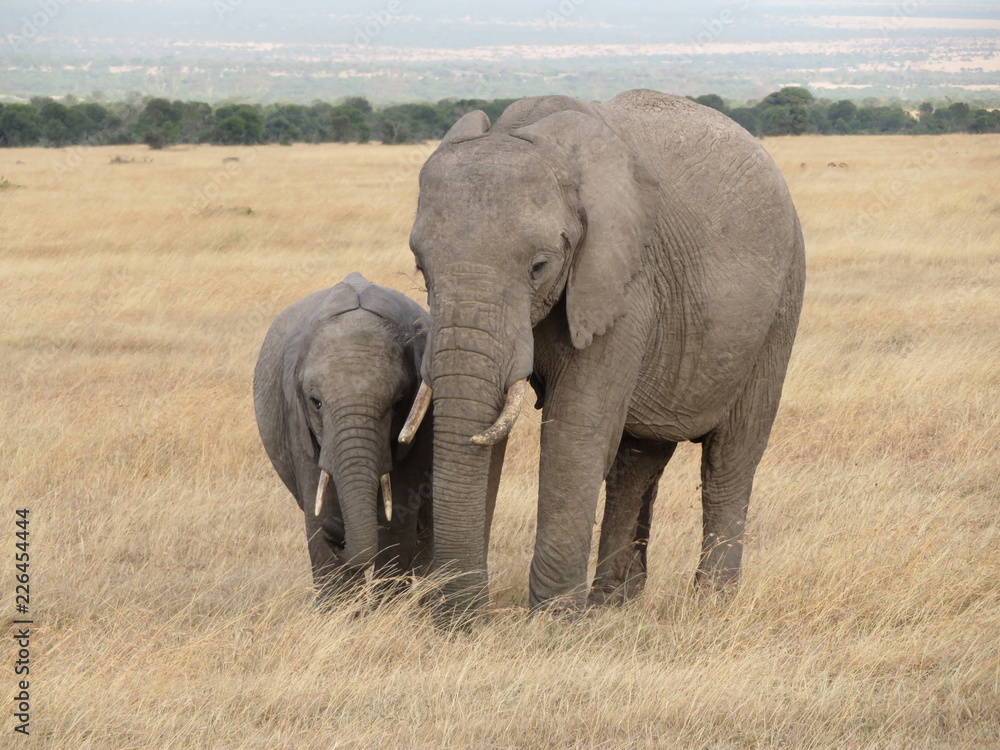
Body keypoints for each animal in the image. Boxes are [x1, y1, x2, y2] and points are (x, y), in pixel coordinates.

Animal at [254, 272, 433, 602]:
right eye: (315, 402)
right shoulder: (296, 422)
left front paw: (386, 611)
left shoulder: (420, 426)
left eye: (398, 403)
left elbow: (397, 517)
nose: (336, 532)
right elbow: (318, 505)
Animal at [400, 89, 806, 620]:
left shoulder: (624, 285)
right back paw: (613, 603)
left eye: (539, 266)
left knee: (730, 457)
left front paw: (552, 622)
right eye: (420, 266)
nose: (462, 619)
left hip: (780, 305)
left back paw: (709, 606)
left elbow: (576, 430)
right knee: (637, 461)